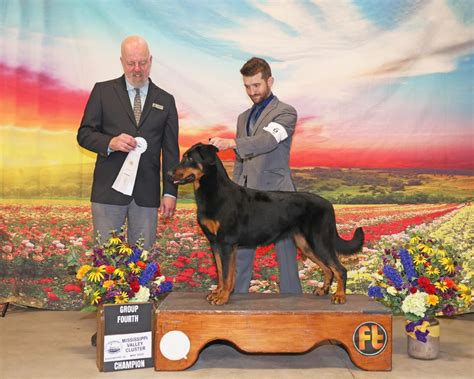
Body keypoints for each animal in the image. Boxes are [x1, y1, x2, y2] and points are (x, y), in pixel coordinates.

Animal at [169, 142, 362, 306]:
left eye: (189, 158)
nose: (169, 174)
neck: (212, 191)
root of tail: (329, 205)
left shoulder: (226, 243)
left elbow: (227, 274)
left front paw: (222, 297)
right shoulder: (215, 243)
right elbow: (221, 272)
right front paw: (218, 292)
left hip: (319, 240)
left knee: (340, 269)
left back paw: (339, 296)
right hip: (305, 245)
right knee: (328, 269)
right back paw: (323, 290)